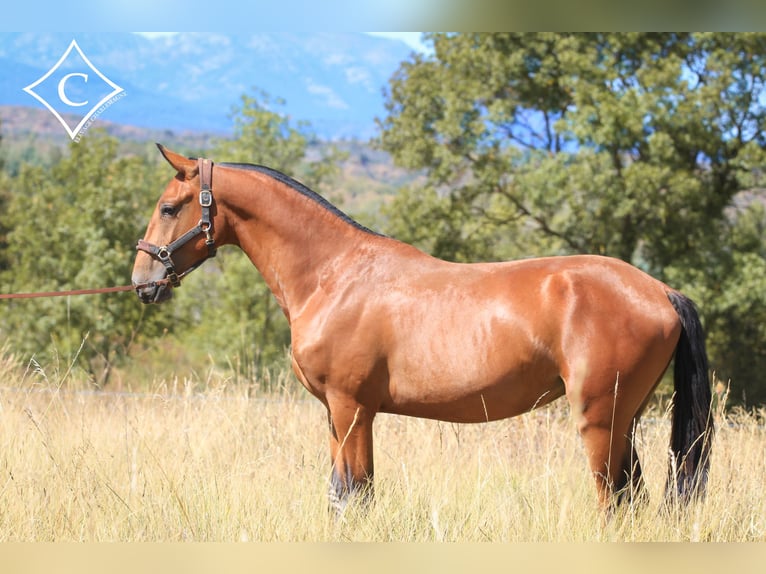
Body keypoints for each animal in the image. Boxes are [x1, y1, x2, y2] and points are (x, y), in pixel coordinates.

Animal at [132, 146, 712, 516]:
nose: (142, 282)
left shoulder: (351, 409)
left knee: (612, 501)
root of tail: (660, 291)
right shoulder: (339, 415)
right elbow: (345, 495)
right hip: (624, 420)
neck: (334, 274)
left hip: (599, 421)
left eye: (168, 207)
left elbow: (354, 496)